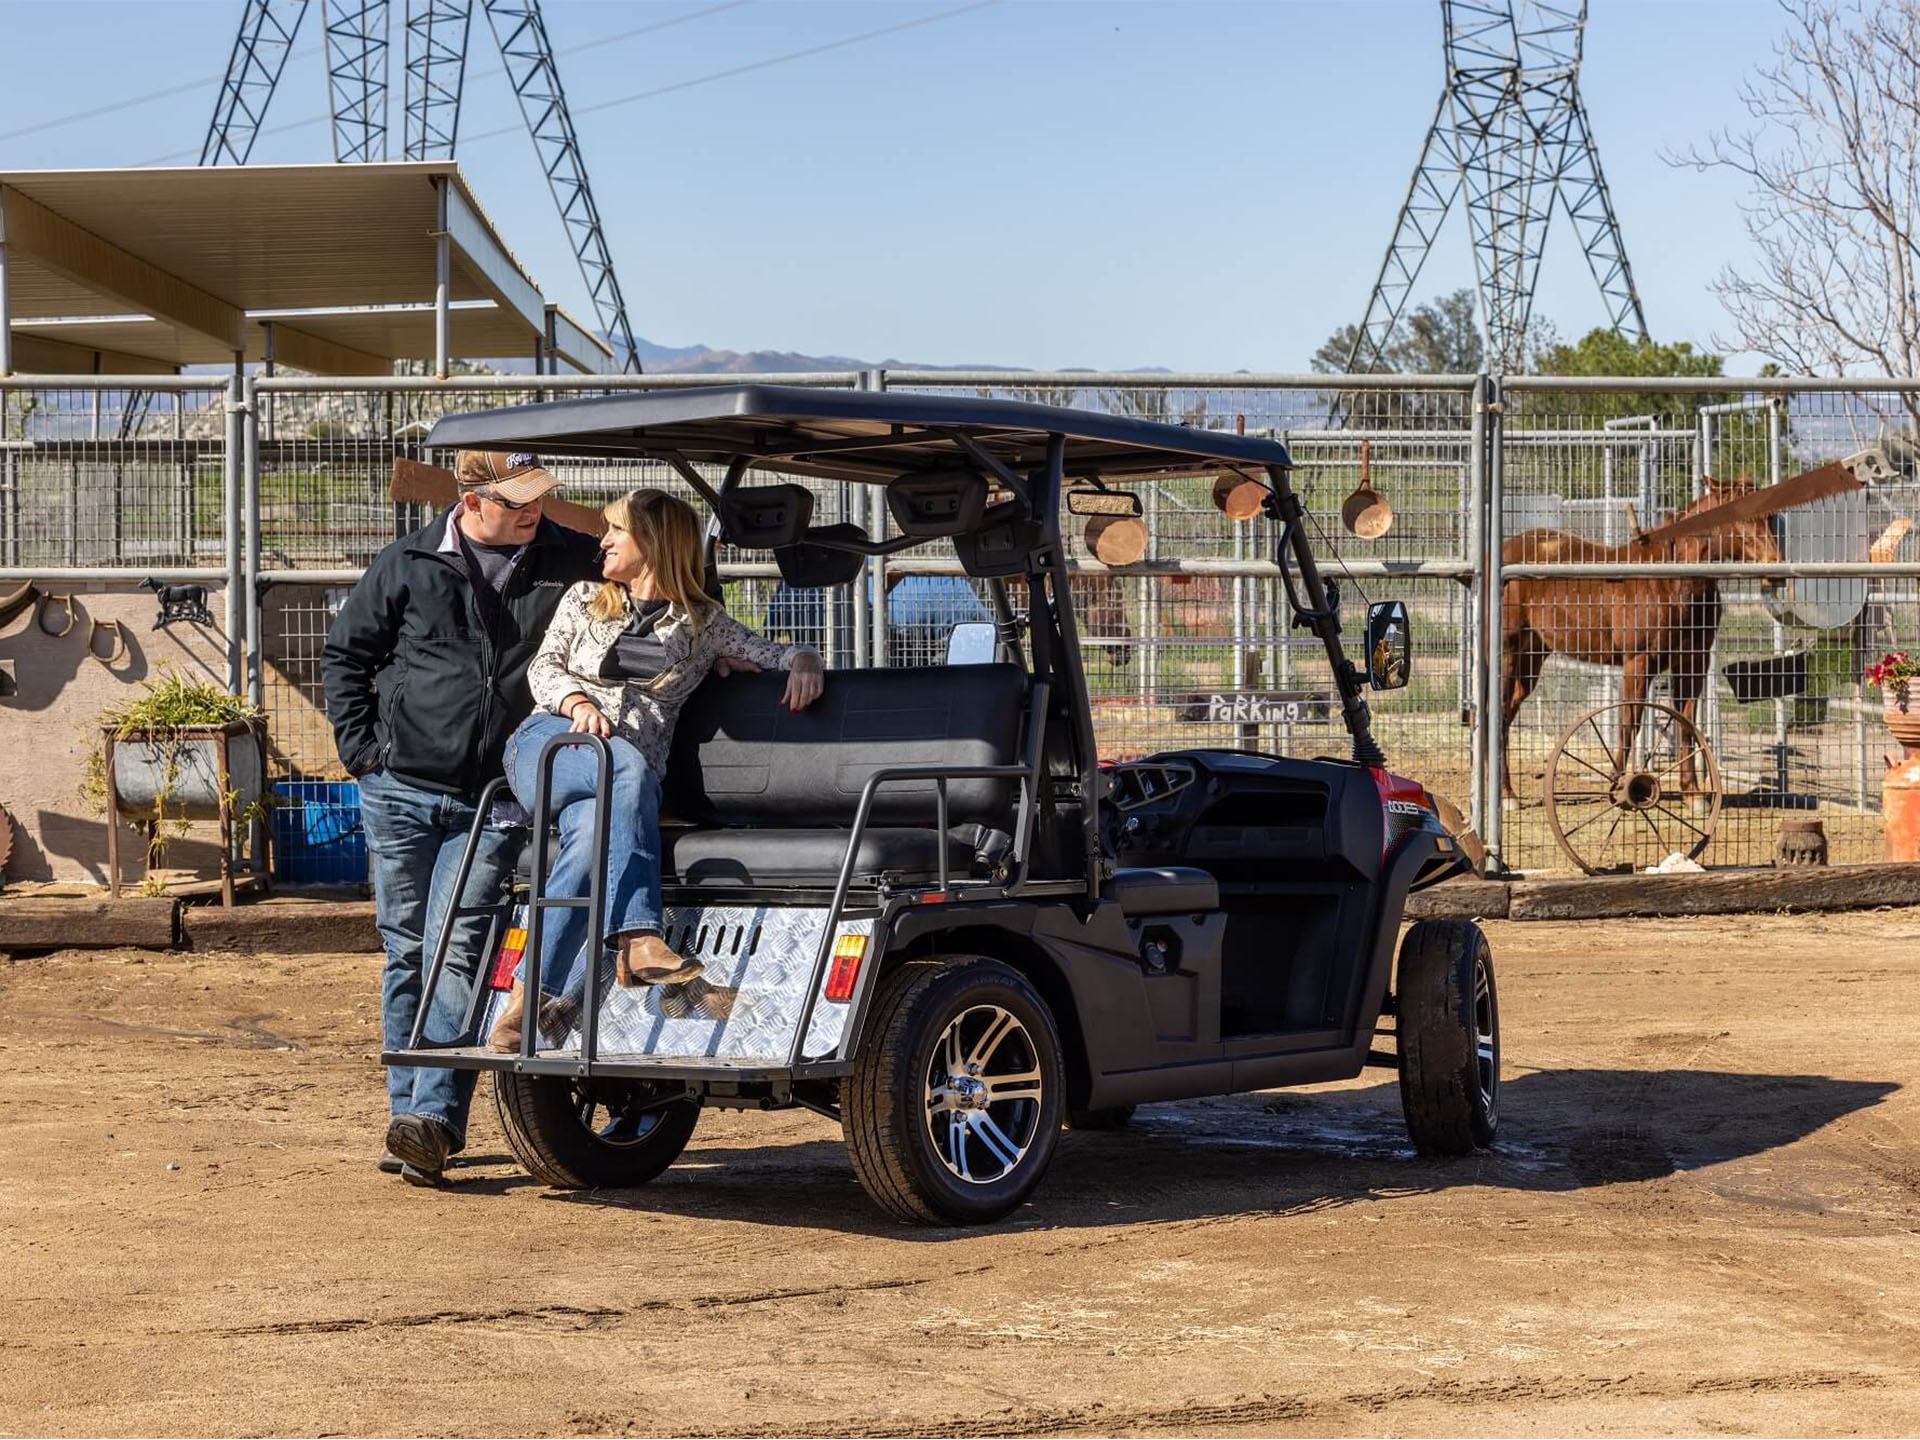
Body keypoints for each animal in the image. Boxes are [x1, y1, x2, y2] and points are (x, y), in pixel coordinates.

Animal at [1497, 481, 1781, 802]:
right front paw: (1620, 785)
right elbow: (1629, 722)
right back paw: (1506, 794)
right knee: (1499, 713)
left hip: (1532, 657)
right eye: (1742, 515)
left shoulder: (1693, 661)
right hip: (1508, 650)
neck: (1671, 582)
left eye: (1770, 518)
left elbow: (1685, 723)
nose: (1774, 564)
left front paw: (1693, 793)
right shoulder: (1638, 662)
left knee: (1508, 712)